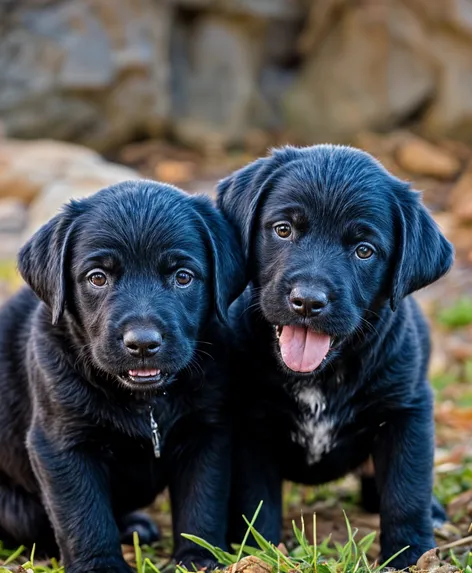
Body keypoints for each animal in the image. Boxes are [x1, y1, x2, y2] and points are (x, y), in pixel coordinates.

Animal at [0, 180, 243, 572]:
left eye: (183, 277)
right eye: (97, 278)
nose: (142, 343)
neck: (146, 402)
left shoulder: (208, 432)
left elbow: (202, 501)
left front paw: (199, 558)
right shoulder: (60, 443)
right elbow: (83, 513)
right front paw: (99, 565)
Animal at [218, 144, 454, 568]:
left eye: (364, 251)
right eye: (283, 229)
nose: (308, 301)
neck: (320, 377)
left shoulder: (406, 409)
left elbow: (407, 490)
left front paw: (411, 555)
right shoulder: (249, 423)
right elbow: (257, 498)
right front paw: (260, 551)